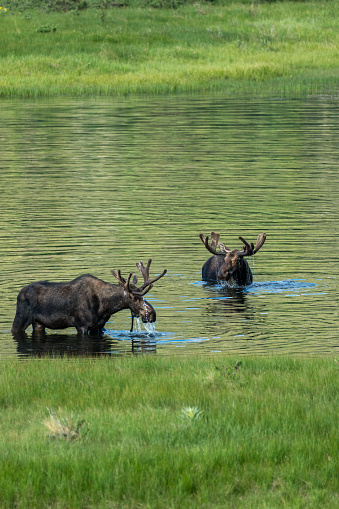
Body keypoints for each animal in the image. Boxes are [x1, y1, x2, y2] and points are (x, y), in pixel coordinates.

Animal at [11, 260, 168, 336]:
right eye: (134, 298)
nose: (152, 315)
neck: (106, 307)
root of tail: (19, 294)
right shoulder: (81, 325)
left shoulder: (99, 326)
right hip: (20, 318)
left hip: (38, 323)